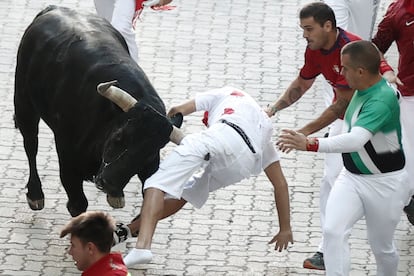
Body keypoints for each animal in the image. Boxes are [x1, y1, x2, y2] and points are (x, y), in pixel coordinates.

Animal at [12, 5, 183, 218]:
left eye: (149, 152)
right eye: (118, 137)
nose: (108, 183)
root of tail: (55, 8)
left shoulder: (151, 167)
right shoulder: (67, 157)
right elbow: (78, 204)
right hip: (24, 104)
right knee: (30, 145)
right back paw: (35, 195)